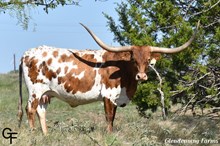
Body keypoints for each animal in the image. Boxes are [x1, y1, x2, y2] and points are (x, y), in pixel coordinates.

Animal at [18, 23, 199, 135]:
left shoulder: (116, 98)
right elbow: (109, 117)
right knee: (30, 110)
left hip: (45, 93)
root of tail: (27, 53)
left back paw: (45, 135)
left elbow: (113, 117)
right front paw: (108, 134)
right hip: (34, 91)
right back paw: (33, 133)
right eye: (134, 59)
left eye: (148, 60)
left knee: (41, 111)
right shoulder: (108, 96)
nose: (141, 76)